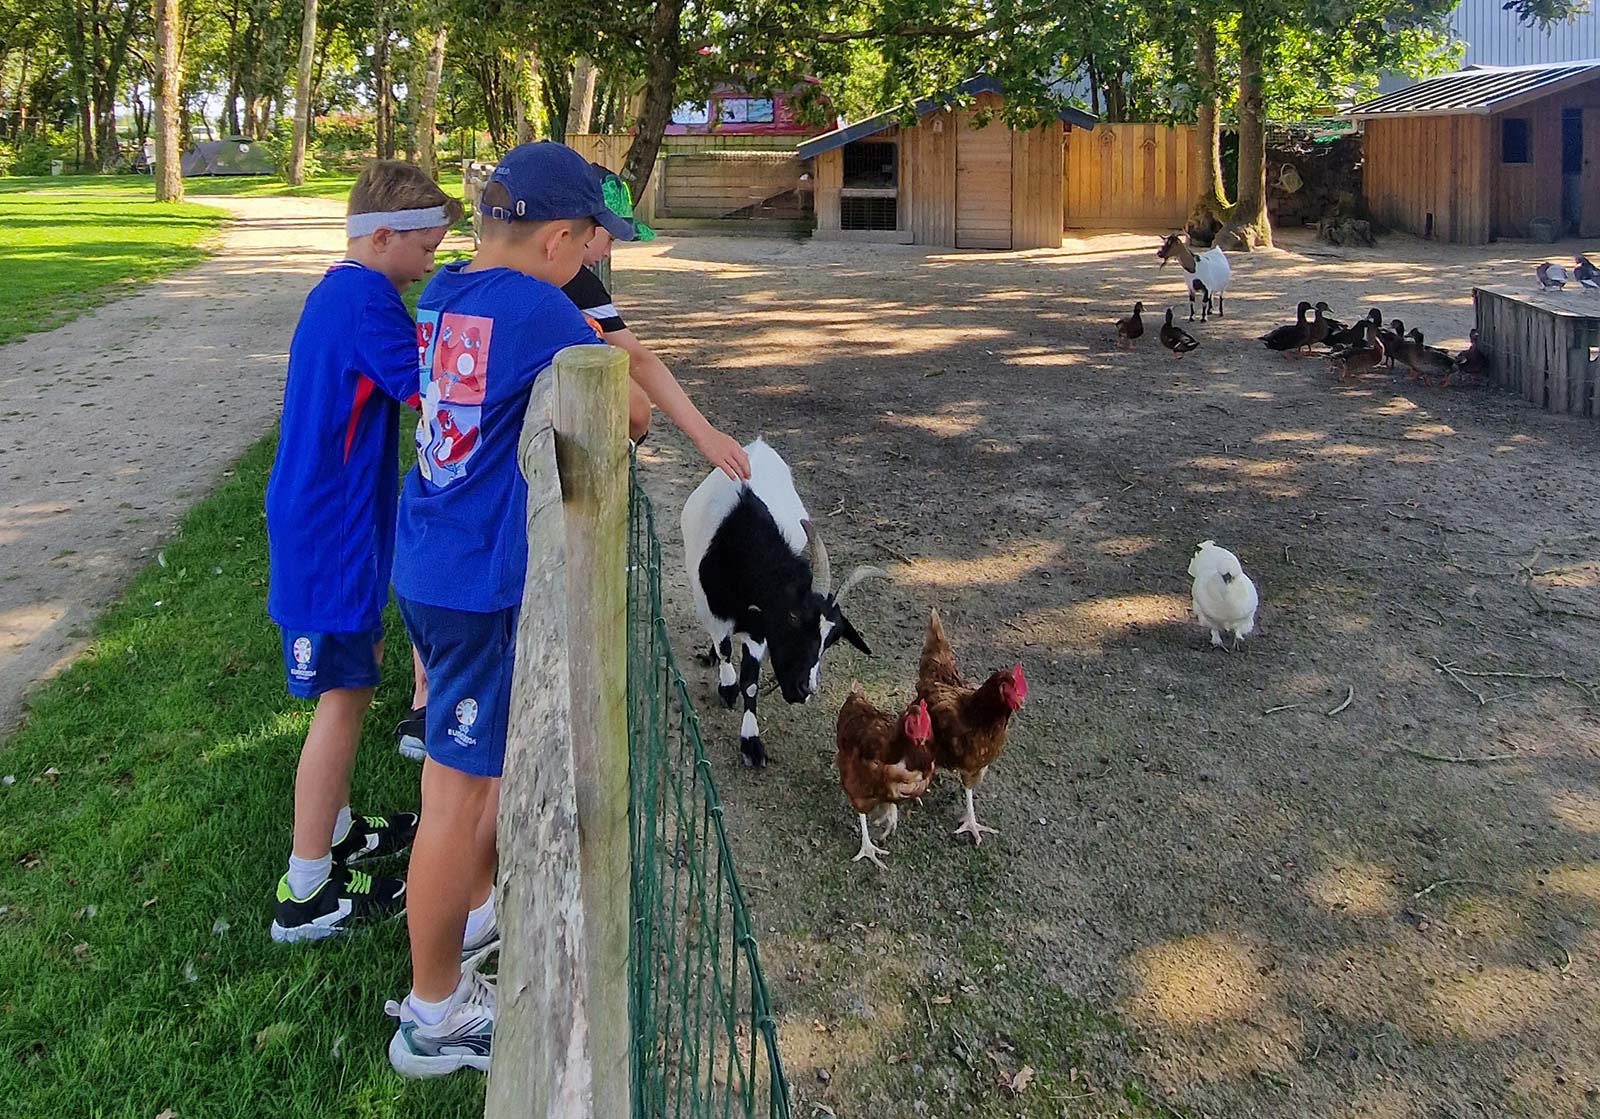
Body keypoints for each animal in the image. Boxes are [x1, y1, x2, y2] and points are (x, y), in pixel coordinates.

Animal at [681, 441, 889, 765]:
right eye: (793, 617)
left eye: (832, 639)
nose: (805, 689)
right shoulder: (712, 610)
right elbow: (725, 649)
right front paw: (726, 687)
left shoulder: (759, 627)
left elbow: (751, 682)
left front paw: (751, 743)